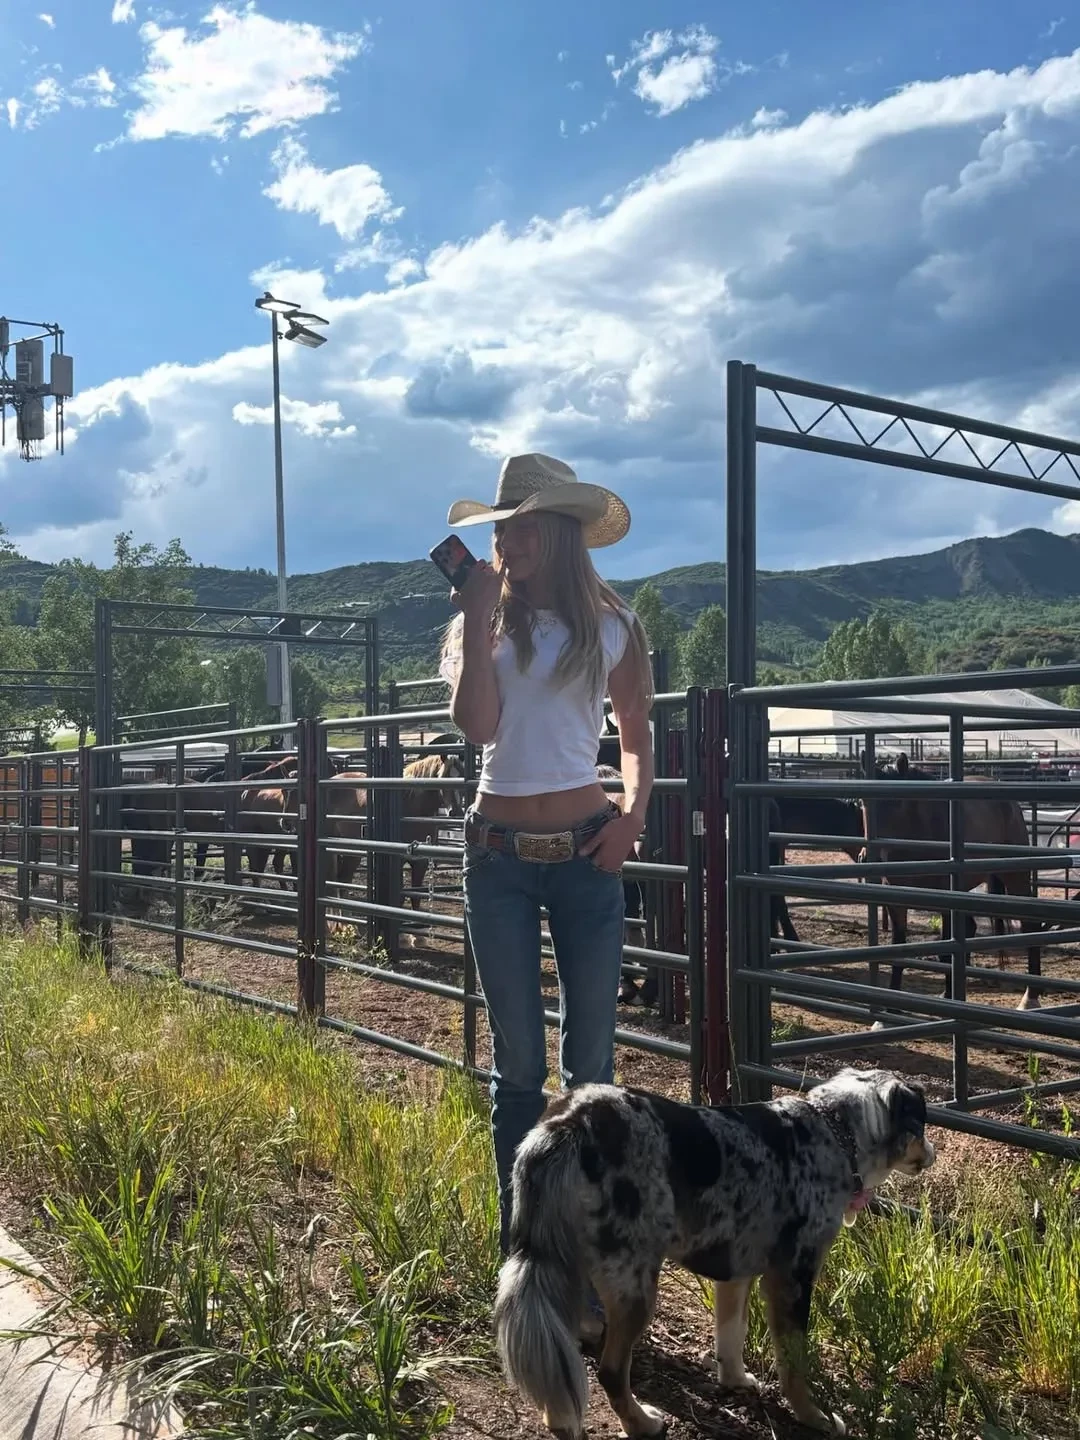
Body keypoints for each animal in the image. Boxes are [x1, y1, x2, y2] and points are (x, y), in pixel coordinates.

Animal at [493, 1067, 935, 1438]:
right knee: (611, 1372)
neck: (834, 1130)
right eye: (922, 1124)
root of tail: (569, 1123)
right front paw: (815, 1417)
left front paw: (735, 1380)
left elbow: (731, 1335)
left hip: (557, 1267)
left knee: (554, 1349)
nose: (932, 1155)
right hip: (634, 1284)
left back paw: (558, 1415)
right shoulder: (793, 1278)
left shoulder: (737, 1273)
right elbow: (794, 1364)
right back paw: (641, 1424)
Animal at [865, 753, 1042, 1010]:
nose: (869, 858)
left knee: (1030, 926)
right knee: (971, 927)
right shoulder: (896, 898)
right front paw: (891, 1005)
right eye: (862, 803)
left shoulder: (945, 899)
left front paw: (950, 998)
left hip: (1015, 876)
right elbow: (899, 948)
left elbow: (945, 952)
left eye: (897, 802)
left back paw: (1031, 997)